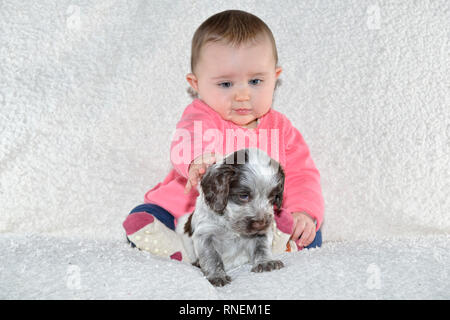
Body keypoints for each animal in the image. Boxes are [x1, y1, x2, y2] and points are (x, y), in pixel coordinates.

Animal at [176, 149, 284, 286]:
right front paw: (217, 276)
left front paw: (265, 262)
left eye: (272, 197)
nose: (262, 223)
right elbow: (212, 256)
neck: (230, 223)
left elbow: (262, 247)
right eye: (243, 196)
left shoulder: (261, 233)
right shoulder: (205, 234)